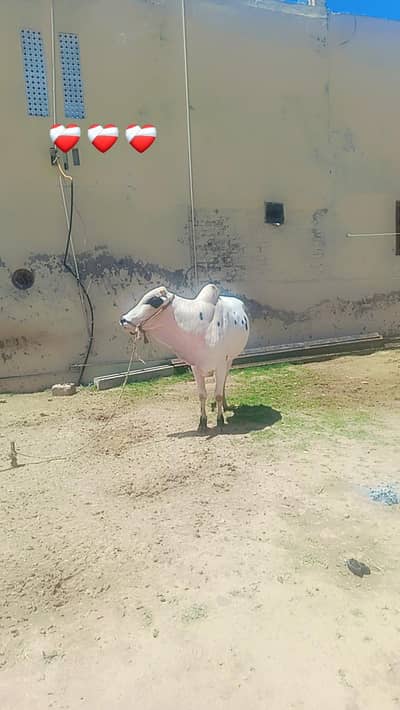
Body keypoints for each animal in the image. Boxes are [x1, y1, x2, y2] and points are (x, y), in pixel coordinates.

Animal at [120, 284, 250, 431]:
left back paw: (224, 405)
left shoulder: (220, 364)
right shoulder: (195, 367)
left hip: (230, 360)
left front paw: (220, 420)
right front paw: (202, 422)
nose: (123, 320)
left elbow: (217, 395)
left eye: (154, 301)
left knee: (223, 384)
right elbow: (202, 395)